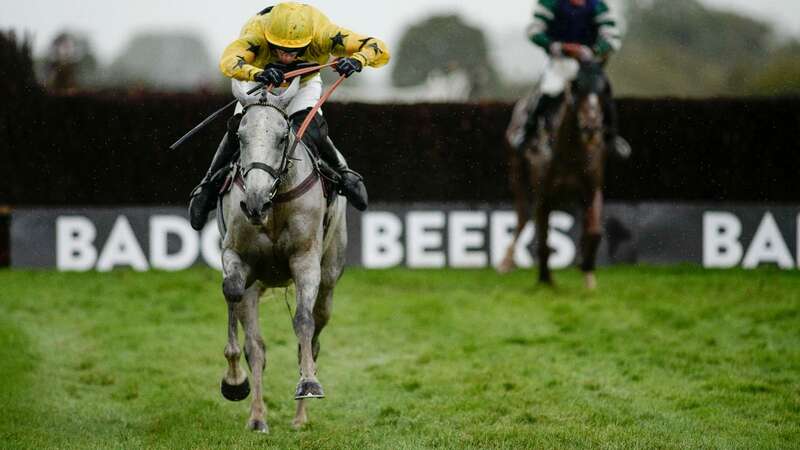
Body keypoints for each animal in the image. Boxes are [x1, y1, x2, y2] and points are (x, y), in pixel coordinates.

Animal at [216, 78, 346, 432]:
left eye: (281, 136)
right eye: (239, 136)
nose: (255, 203)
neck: (273, 205)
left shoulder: (305, 260)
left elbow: (302, 322)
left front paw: (309, 384)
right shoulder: (236, 256)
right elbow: (233, 292)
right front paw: (234, 381)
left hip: (329, 280)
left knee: (313, 336)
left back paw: (301, 416)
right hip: (257, 284)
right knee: (257, 347)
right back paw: (258, 417)